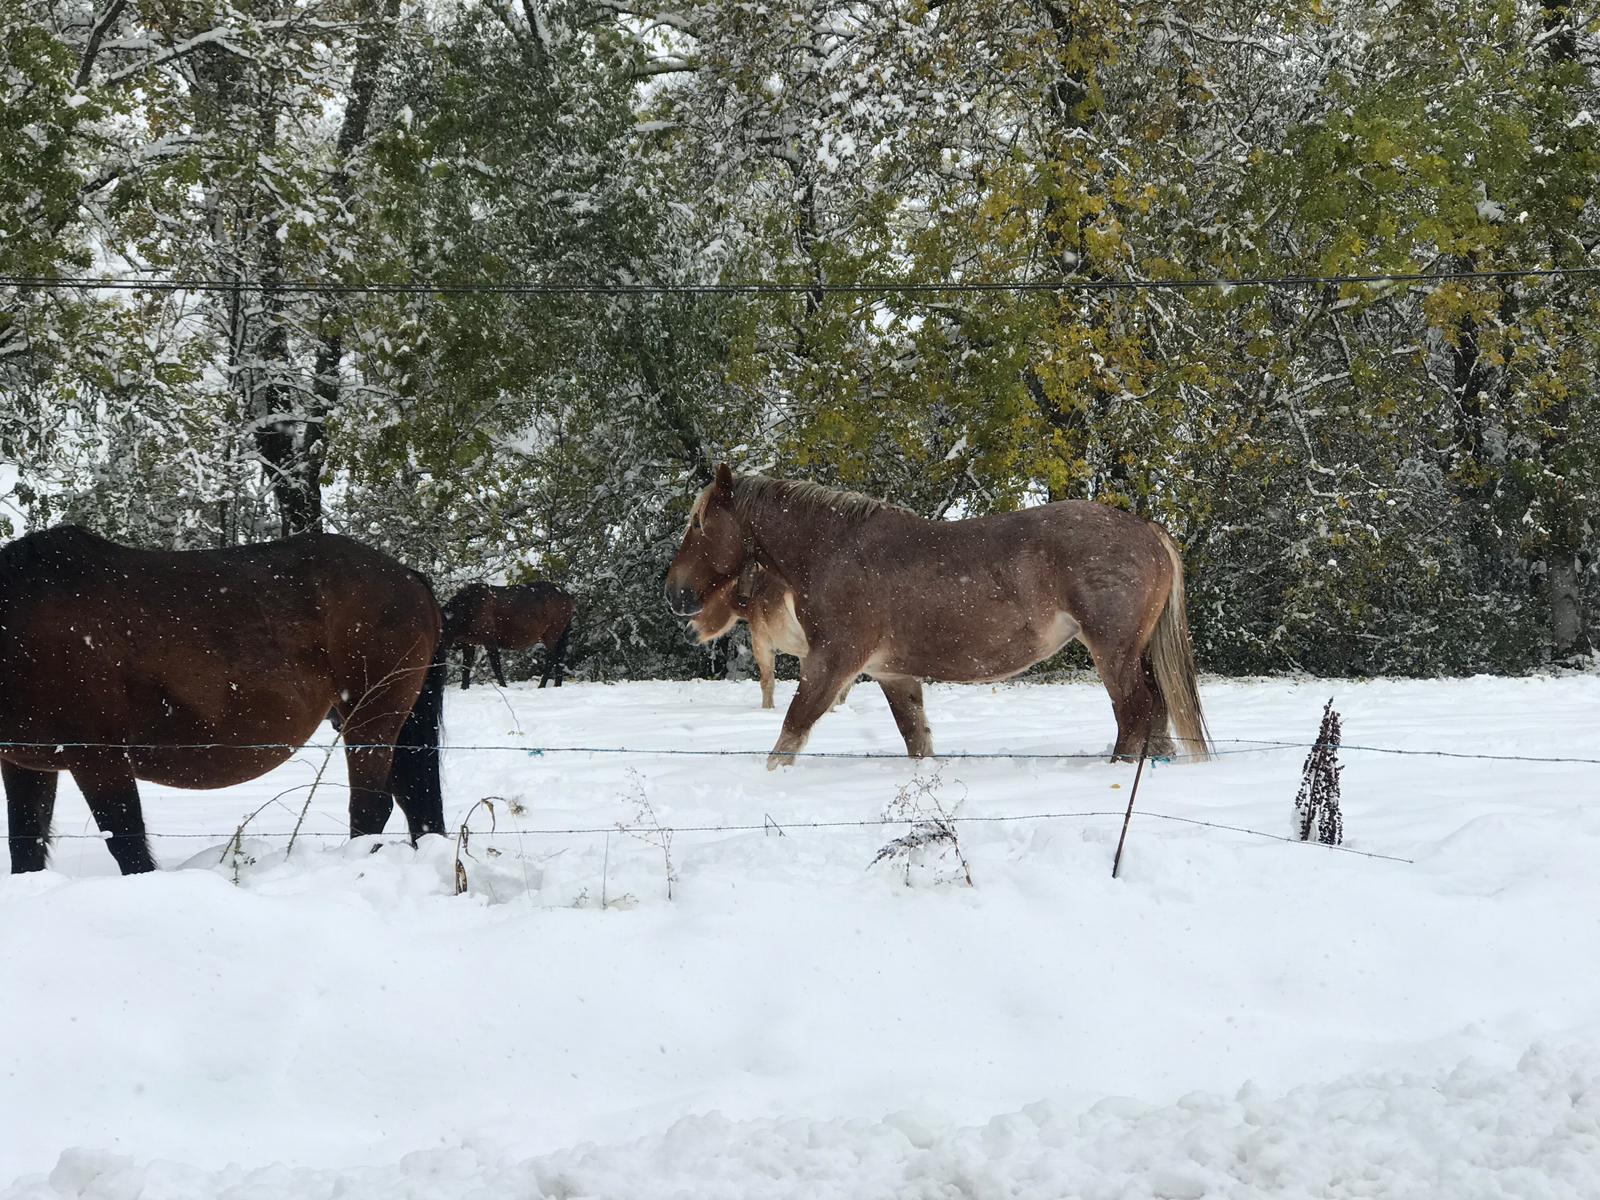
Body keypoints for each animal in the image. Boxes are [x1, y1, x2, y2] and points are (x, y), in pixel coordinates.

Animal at [0, 524, 451, 876]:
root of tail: (407, 576)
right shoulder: (25, 764)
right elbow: (25, 846)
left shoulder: (99, 758)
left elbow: (127, 844)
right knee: (413, 799)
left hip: (370, 719)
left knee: (371, 808)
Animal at [441, 585, 579, 691]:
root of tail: (569, 597)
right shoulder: (468, 643)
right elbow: (466, 667)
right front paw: (464, 688)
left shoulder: (489, 638)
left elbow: (496, 666)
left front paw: (503, 686)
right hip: (561, 633)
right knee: (560, 657)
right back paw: (557, 685)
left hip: (551, 632)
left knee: (552, 658)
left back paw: (541, 685)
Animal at [665, 467, 1209, 771]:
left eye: (699, 523)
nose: (674, 594)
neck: (835, 549)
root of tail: (1148, 530)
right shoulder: (893, 674)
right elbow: (917, 740)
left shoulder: (831, 661)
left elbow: (791, 732)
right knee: (1154, 713)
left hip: (1113, 652)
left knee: (1135, 712)